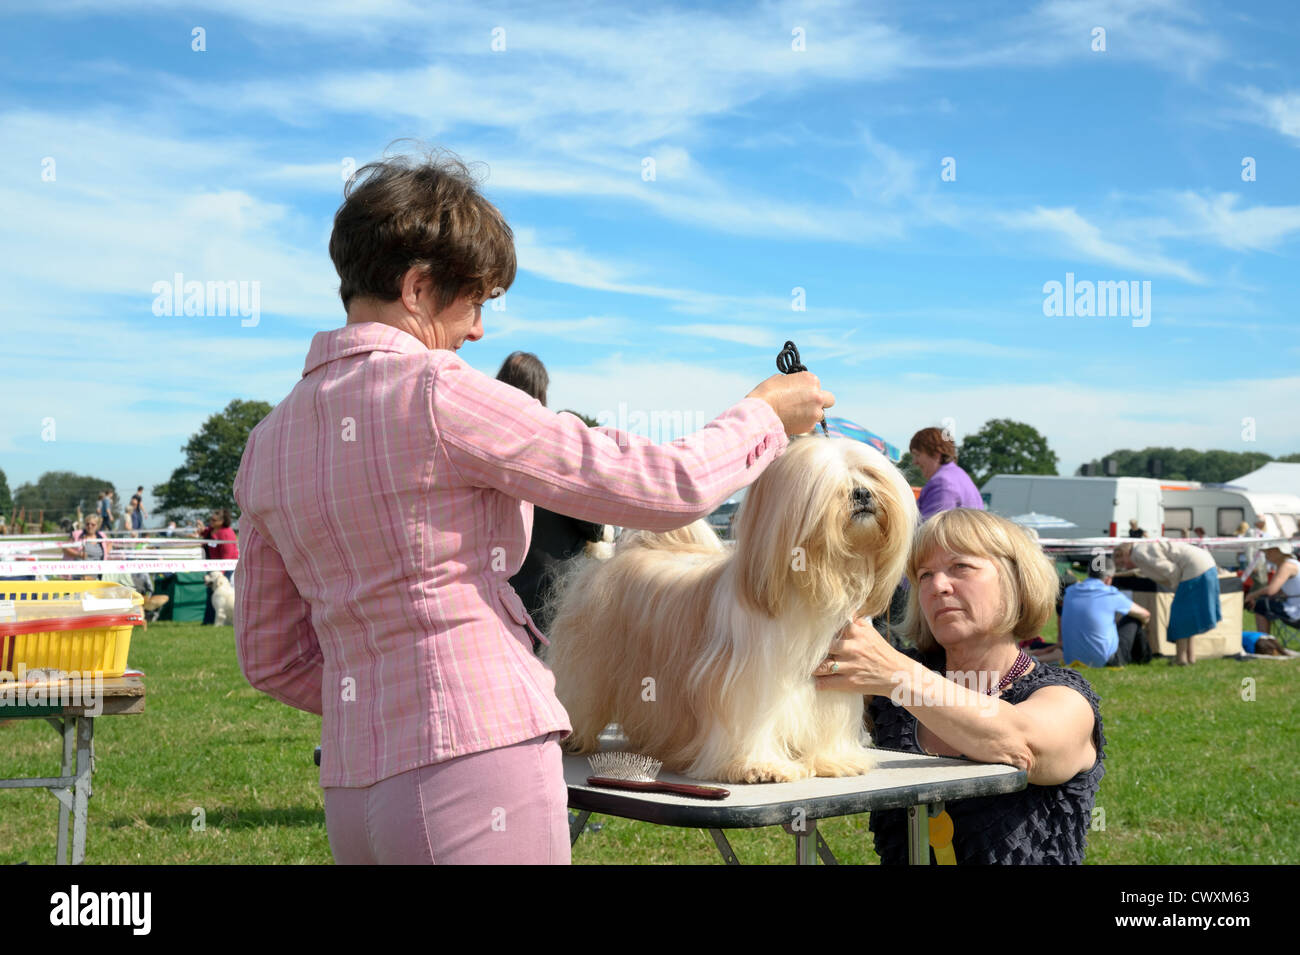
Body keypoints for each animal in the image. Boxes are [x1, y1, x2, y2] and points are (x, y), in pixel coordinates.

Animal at [543, 436, 920, 779]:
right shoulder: (747, 680)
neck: (811, 588)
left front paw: (833, 760)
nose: (862, 494)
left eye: (870, 475)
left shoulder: (834, 680)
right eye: (827, 485)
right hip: (591, 662)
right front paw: (760, 767)